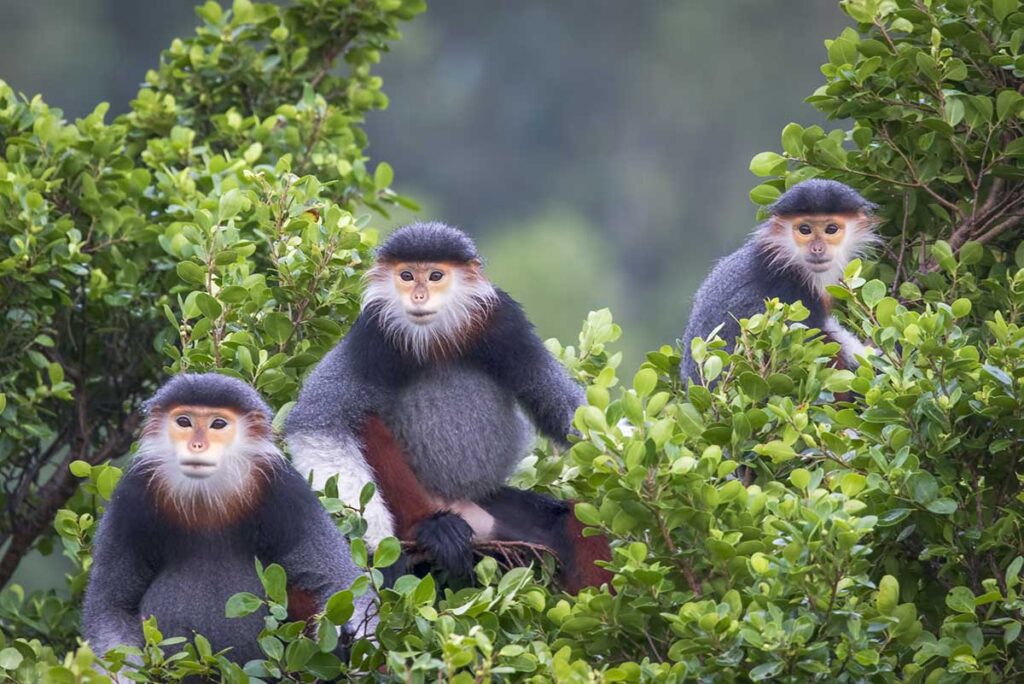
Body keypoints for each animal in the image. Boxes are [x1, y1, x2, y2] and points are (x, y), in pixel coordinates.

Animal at [82, 376, 372, 663]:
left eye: (218, 424)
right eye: (184, 422)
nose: (197, 445)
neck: (204, 494)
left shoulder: (286, 490)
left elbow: (338, 579)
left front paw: (354, 635)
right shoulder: (131, 496)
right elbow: (111, 607)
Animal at [284, 223, 610, 589]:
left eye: (435, 275)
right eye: (407, 275)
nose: (419, 296)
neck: (436, 339)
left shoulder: (505, 323)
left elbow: (558, 407)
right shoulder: (371, 335)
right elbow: (317, 421)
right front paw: (377, 552)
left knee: (575, 519)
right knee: (362, 419)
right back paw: (433, 529)